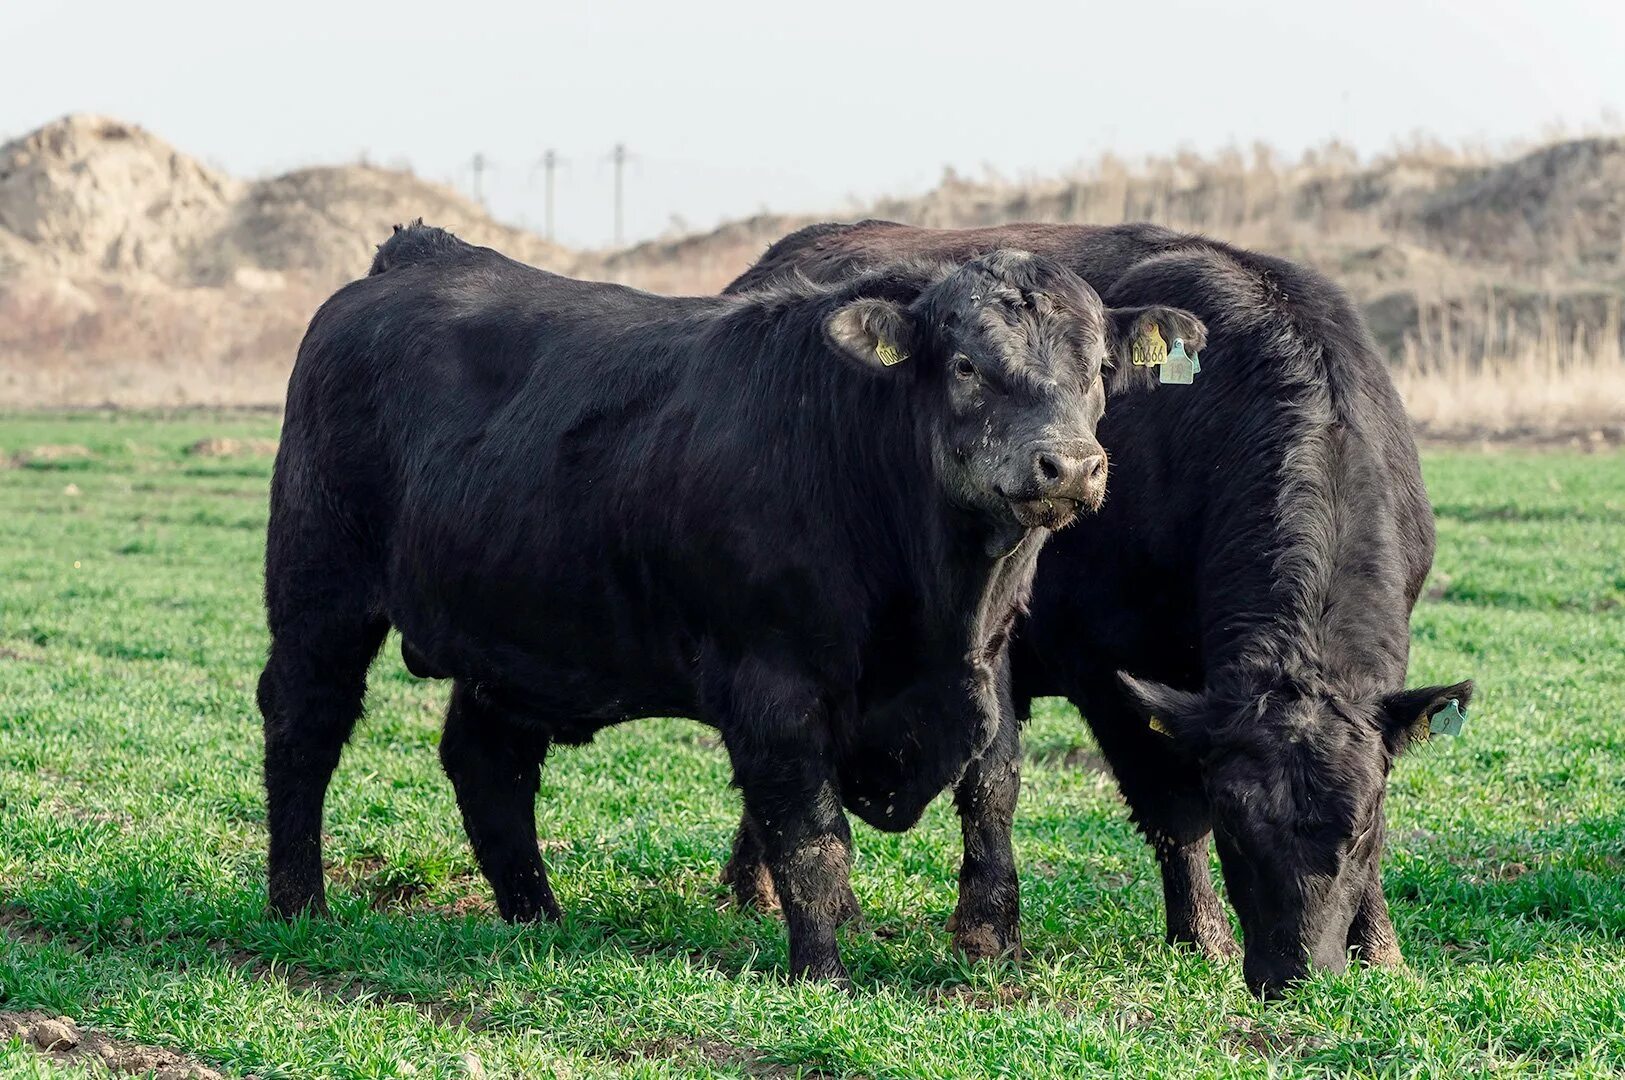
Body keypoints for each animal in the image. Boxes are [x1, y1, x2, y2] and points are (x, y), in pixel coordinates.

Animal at [256, 222, 1209, 980]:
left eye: (1098, 369)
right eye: (967, 365)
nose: (1068, 465)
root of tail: (417, 255)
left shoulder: (989, 665)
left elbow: (993, 792)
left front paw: (992, 946)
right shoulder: (773, 685)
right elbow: (811, 837)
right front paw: (821, 972)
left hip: (511, 632)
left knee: (487, 758)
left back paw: (537, 917)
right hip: (320, 585)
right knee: (305, 721)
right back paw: (300, 905)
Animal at [724, 219, 1475, 993]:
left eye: (1358, 828)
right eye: (1237, 825)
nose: (1292, 969)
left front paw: (1379, 948)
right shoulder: (1112, 676)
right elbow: (1173, 810)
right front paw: (1203, 936)